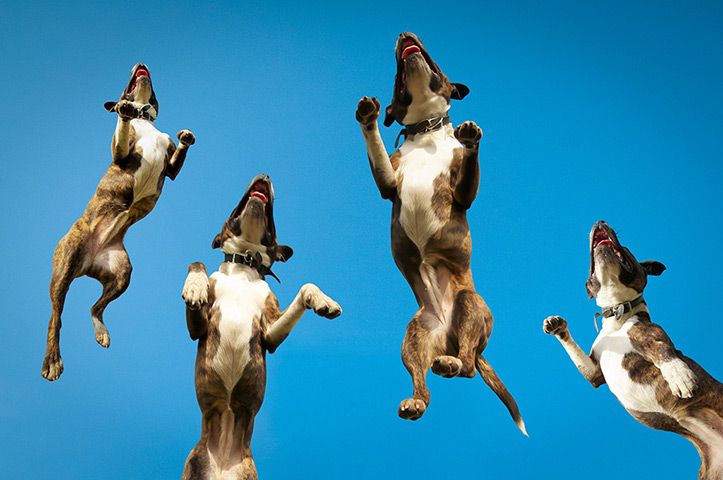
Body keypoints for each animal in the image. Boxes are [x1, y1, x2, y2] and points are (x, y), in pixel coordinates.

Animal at [180, 175, 340, 480]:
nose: (264, 175)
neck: (245, 262)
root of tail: (223, 462)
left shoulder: (271, 333)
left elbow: (306, 287)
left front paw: (323, 301)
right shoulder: (198, 326)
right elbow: (197, 262)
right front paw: (195, 286)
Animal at [356, 31, 528, 434]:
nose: (405, 34)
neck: (426, 131)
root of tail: (450, 337)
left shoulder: (463, 193)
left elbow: (468, 168)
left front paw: (471, 138)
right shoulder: (389, 181)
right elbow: (377, 147)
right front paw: (369, 117)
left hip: (469, 306)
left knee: (467, 367)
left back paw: (453, 364)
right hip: (415, 337)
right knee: (424, 382)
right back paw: (417, 401)